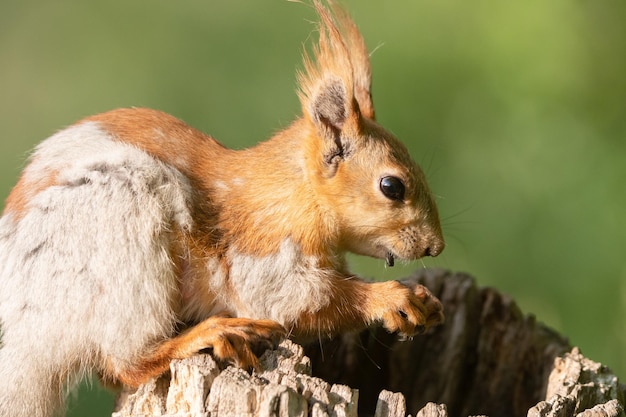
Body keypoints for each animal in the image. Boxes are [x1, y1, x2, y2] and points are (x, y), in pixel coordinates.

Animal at [0, 3, 444, 416]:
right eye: (392, 186)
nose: (435, 247)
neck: (296, 193)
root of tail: (28, 334)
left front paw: (424, 300)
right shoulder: (263, 252)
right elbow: (295, 298)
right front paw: (390, 298)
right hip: (122, 238)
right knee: (126, 363)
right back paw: (212, 334)